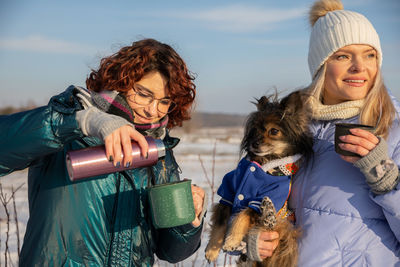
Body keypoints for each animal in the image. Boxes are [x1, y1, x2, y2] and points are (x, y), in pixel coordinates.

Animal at [206, 91, 312, 266]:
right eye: (254, 131)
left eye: (274, 131)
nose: (254, 144)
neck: (263, 163)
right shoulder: (228, 196)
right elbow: (220, 222)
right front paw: (211, 250)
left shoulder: (260, 201)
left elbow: (242, 215)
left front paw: (232, 240)